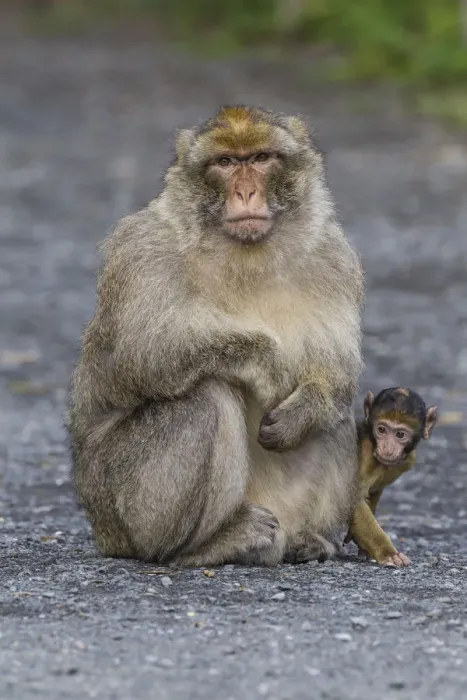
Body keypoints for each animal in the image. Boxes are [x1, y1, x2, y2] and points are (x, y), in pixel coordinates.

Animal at [67, 104, 365, 568]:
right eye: (225, 163)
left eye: (260, 158)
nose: (245, 193)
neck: (245, 255)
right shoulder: (142, 251)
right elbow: (140, 355)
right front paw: (265, 360)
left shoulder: (334, 258)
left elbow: (337, 373)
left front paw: (306, 408)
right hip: (122, 509)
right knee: (204, 397)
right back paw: (200, 547)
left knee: (338, 415)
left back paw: (309, 540)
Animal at [344, 387, 439, 567]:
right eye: (381, 430)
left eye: (400, 434)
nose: (387, 449)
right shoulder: (364, 453)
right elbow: (350, 497)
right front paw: (388, 552)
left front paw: (361, 543)